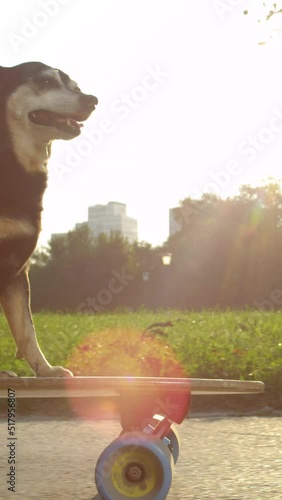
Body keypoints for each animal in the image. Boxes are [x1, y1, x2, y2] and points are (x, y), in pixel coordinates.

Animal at [0, 62, 98, 376]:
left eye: (76, 87)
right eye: (44, 82)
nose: (92, 99)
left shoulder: (18, 269)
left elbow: (26, 330)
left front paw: (45, 370)